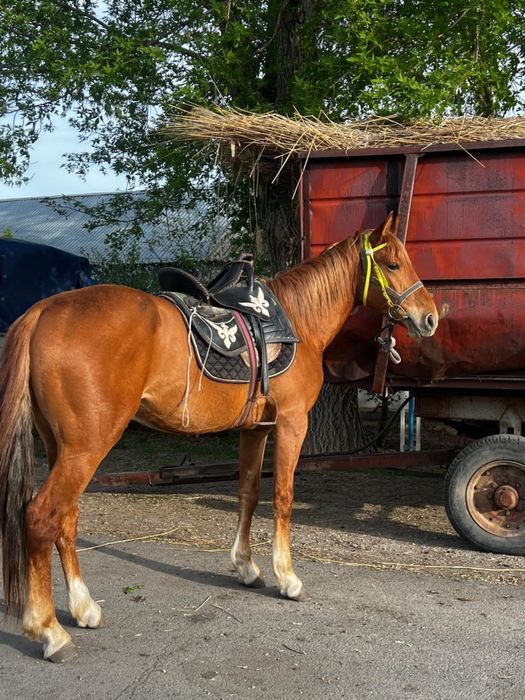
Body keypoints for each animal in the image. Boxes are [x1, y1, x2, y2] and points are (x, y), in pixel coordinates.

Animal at [0, 212, 438, 662]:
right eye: (392, 264)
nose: (430, 318)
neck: (298, 320)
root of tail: (42, 311)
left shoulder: (255, 429)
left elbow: (249, 493)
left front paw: (246, 566)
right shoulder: (291, 424)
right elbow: (283, 496)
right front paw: (287, 577)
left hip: (61, 446)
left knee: (66, 518)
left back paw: (84, 607)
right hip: (87, 447)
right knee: (42, 516)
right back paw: (49, 630)